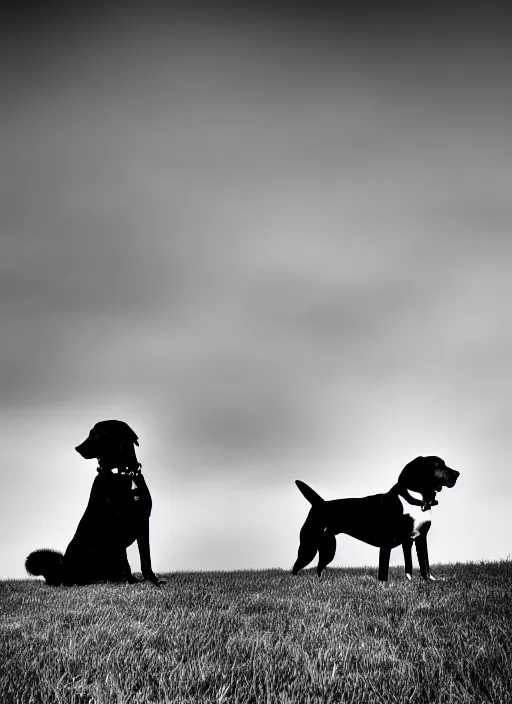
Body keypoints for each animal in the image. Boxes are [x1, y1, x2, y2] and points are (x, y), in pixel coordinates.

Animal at [26, 420, 164, 584]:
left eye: (97, 434)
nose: (77, 448)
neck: (123, 474)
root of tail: (59, 570)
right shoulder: (116, 525)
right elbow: (125, 560)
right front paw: (131, 581)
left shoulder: (143, 521)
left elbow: (146, 557)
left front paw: (153, 580)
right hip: (84, 551)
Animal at [292, 456, 460, 584]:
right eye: (437, 465)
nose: (457, 473)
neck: (416, 501)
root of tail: (321, 503)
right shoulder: (386, 543)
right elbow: (384, 571)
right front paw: (384, 586)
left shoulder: (419, 539)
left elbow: (423, 564)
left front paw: (427, 581)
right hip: (309, 546)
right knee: (296, 567)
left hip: (328, 547)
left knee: (319, 567)